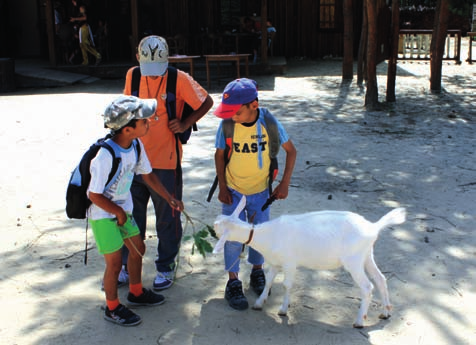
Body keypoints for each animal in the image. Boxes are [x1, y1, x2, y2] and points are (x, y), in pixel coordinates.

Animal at [215, 195, 406, 326]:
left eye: (219, 226)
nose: (213, 224)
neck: (269, 235)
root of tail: (373, 227)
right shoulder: (276, 263)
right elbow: (268, 282)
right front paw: (259, 303)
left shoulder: (289, 262)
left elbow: (287, 285)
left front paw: (283, 310)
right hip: (366, 255)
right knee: (380, 279)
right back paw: (386, 312)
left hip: (354, 260)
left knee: (367, 287)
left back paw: (359, 321)